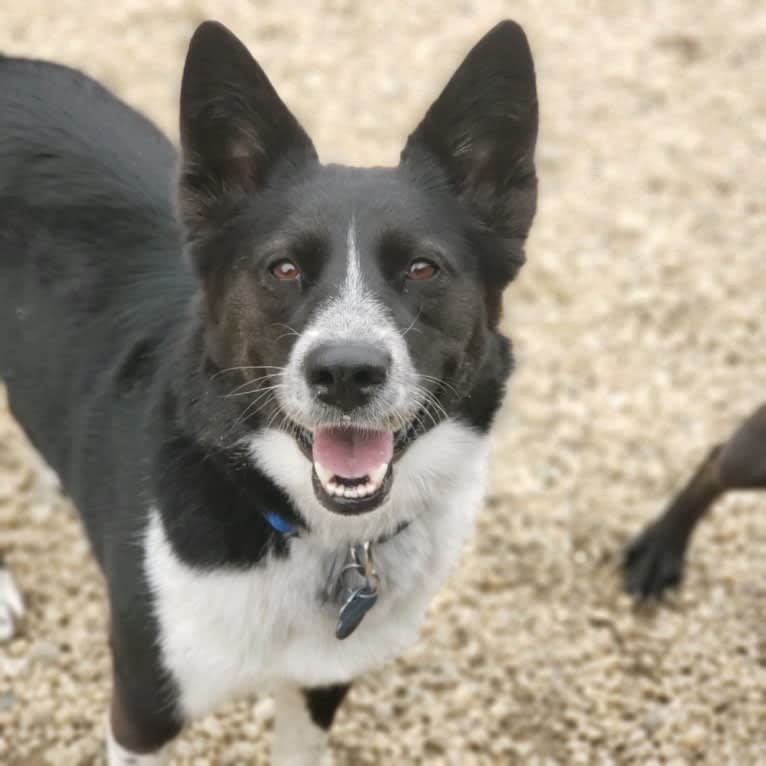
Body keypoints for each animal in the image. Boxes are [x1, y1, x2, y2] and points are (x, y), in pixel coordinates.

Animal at [0, 21, 540, 764]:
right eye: (282, 269)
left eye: (423, 268)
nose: (345, 373)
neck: (311, 531)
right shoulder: (141, 708)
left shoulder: (322, 680)